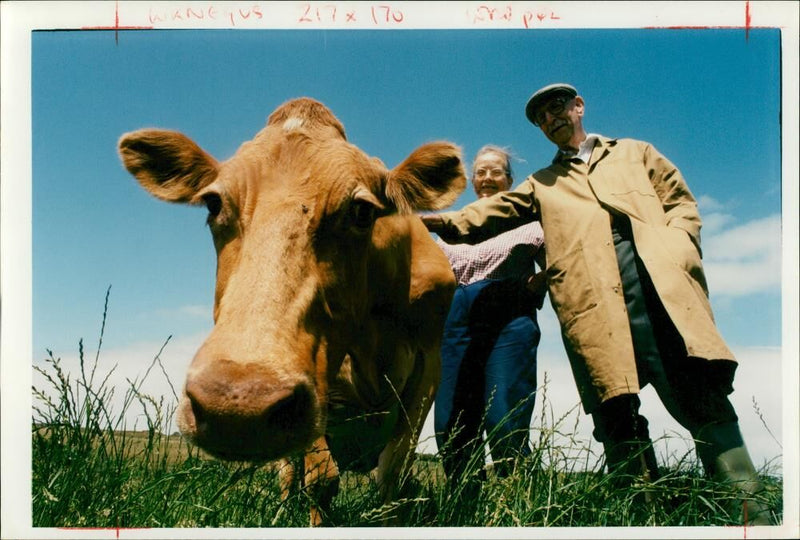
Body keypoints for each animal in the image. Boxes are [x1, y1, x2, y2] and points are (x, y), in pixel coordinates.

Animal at [119, 97, 468, 524]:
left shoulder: (428, 365)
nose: (237, 405)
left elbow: (392, 477)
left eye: (362, 211)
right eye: (213, 203)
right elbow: (321, 479)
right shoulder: (317, 381)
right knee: (290, 475)